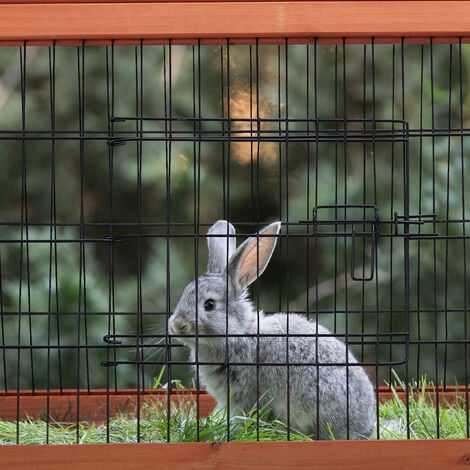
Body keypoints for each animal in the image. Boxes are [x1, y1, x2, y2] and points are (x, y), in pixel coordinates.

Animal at [168, 221, 374, 440]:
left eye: (209, 305)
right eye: (184, 294)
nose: (176, 325)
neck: (238, 334)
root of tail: (366, 427)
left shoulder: (246, 395)